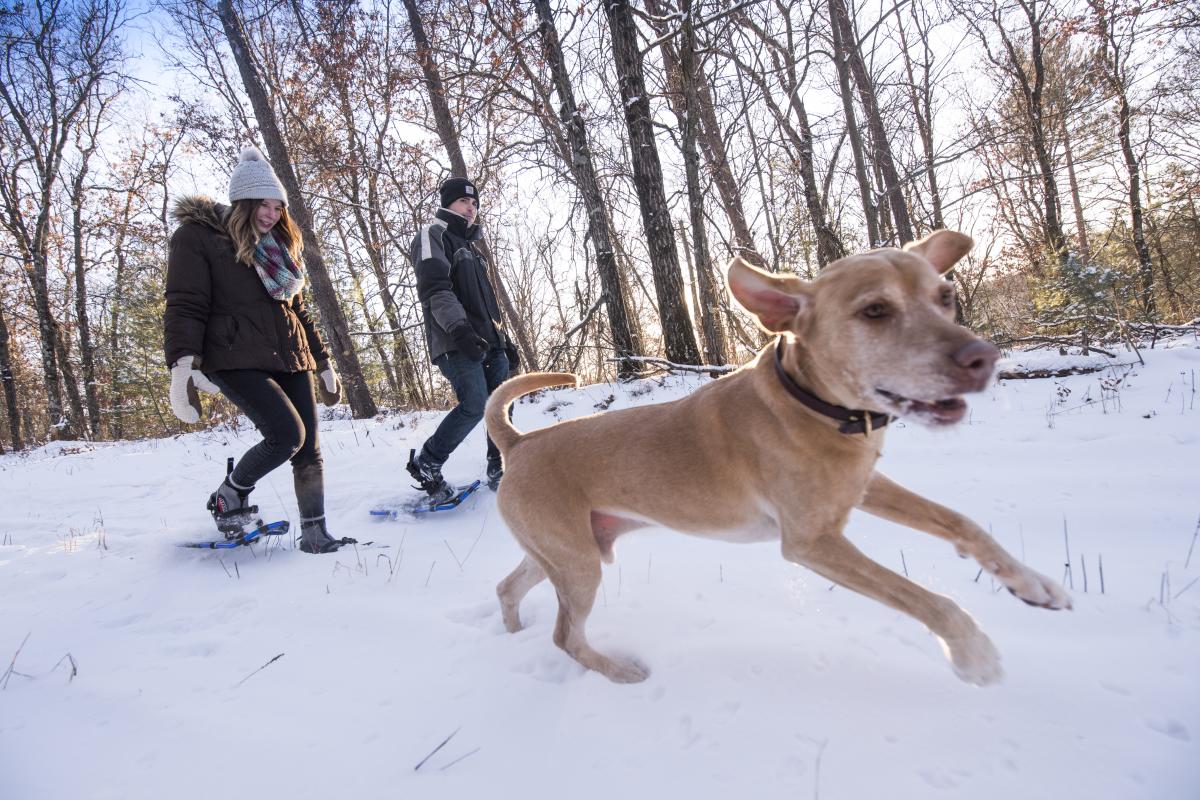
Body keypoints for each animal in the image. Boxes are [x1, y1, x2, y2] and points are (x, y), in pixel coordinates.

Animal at [482, 227, 1075, 686]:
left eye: (945, 296)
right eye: (875, 310)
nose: (983, 358)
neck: (813, 407)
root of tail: (519, 443)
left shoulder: (863, 488)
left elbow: (961, 522)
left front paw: (1031, 583)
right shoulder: (813, 543)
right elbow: (925, 599)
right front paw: (973, 653)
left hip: (558, 553)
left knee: (508, 587)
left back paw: (511, 632)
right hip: (577, 563)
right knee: (565, 635)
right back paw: (618, 671)